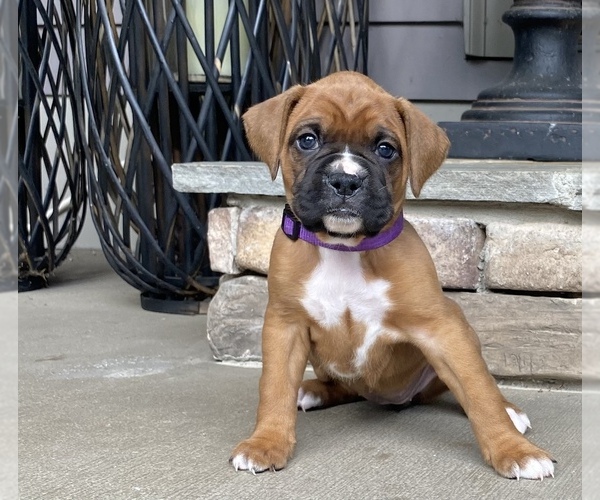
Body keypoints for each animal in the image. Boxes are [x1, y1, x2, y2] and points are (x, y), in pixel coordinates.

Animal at [229, 72, 552, 478]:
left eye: (385, 149)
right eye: (307, 140)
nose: (345, 181)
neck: (346, 248)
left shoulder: (442, 330)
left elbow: (478, 389)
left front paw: (514, 448)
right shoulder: (285, 325)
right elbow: (273, 387)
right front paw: (266, 442)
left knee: (454, 389)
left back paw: (511, 412)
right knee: (342, 386)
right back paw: (313, 390)